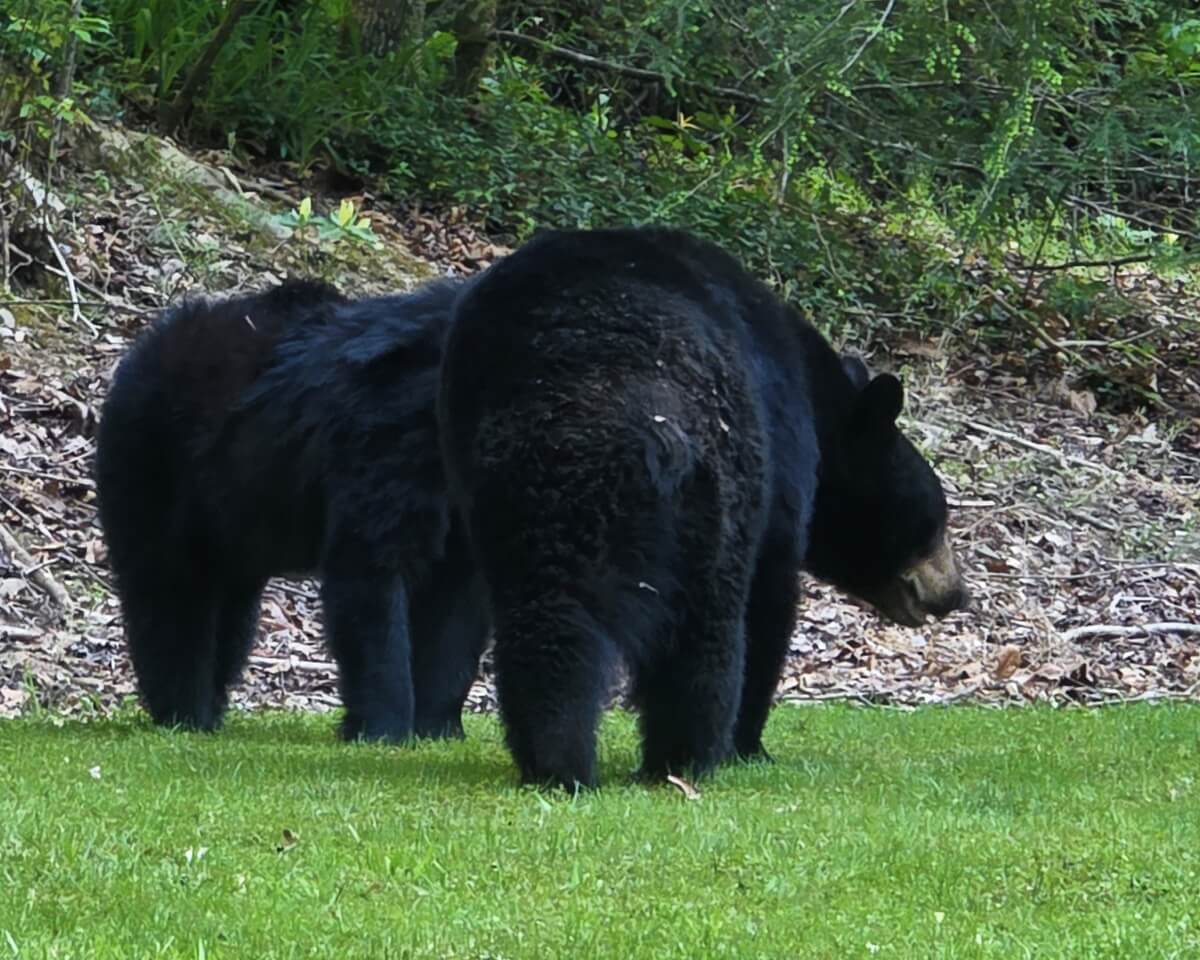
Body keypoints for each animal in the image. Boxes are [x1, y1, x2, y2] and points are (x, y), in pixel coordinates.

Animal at [96, 278, 489, 742]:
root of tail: (139, 351)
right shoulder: (388, 440)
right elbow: (371, 571)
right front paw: (382, 728)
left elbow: (456, 602)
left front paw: (437, 726)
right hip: (157, 470)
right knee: (170, 592)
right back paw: (185, 711)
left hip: (231, 520)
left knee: (229, 613)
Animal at [438, 226, 968, 790]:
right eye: (935, 521)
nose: (955, 594)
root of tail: (634, 411)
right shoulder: (781, 454)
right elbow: (771, 594)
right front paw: (751, 742)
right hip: (718, 484)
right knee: (707, 623)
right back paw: (686, 757)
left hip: (530, 492)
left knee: (548, 614)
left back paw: (557, 761)